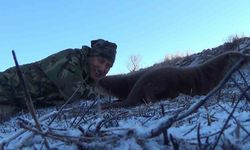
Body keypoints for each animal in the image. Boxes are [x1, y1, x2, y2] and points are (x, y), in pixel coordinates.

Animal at [99, 51, 250, 108]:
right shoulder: (206, 83)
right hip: (160, 82)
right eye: (241, 57)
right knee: (149, 94)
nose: (247, 57)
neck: (212, 72)